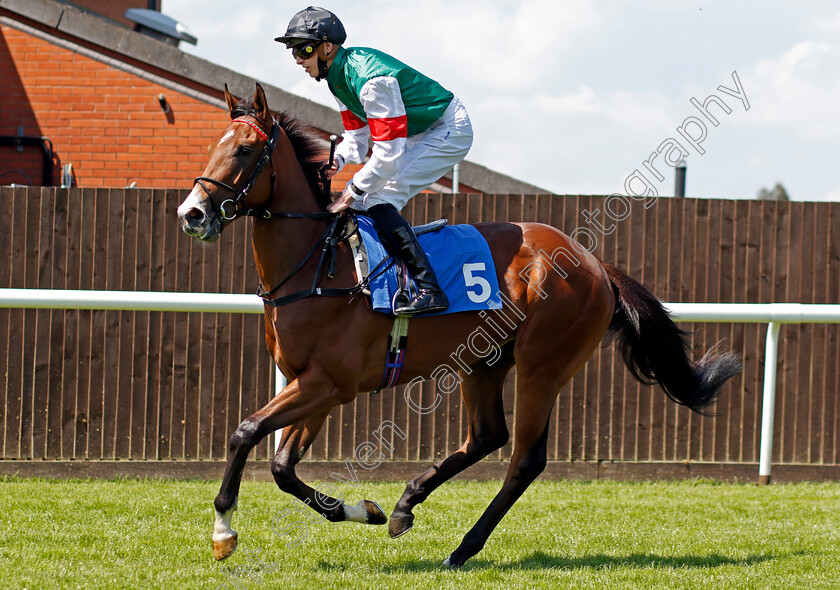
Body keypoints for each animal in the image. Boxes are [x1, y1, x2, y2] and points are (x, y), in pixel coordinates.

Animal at [177, 83, 740, 568]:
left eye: (246, 150)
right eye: (212, 147)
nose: (192, 213)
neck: (321, 264)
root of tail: (594, 263)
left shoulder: (328, 383)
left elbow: (245, 432)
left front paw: (223, 530)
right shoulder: (314, 385)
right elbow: (281, 467)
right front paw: (365, 510)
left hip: (544, 366)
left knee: (524, 459)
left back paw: (463, 547)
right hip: (483, 361)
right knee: (487, 436)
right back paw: (405, 504)